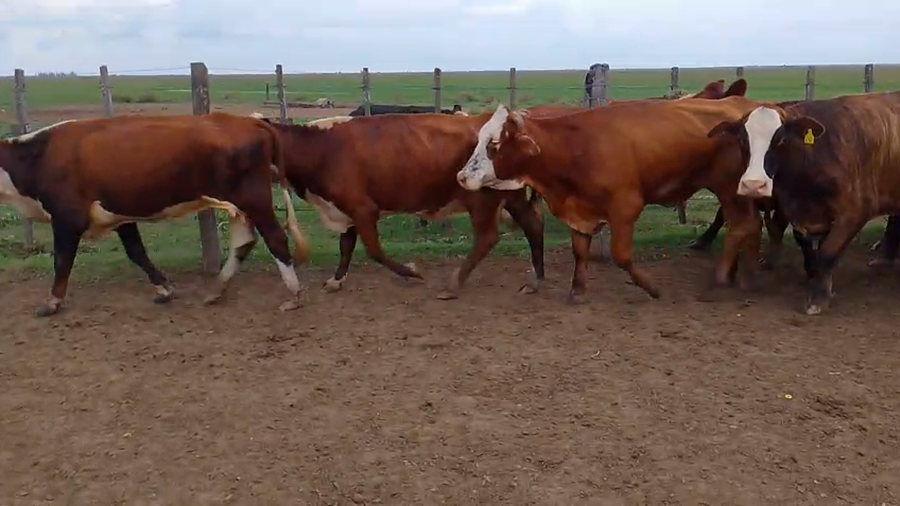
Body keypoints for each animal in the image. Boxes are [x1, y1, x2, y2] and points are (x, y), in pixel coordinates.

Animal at [0, 113, 311, 317]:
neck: (38, 156)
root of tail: (250, 120)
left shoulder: (67, 219)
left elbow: (62, 261)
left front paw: (51, 302)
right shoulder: (120, 216)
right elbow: (137, 252)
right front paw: (165, 289)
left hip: (254, 200)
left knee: (276, 239)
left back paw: (294, 295)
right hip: (238, 206)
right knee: (244, 243)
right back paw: (216, 291)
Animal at [256, 111, 545, 300]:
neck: (321, 149)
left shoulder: (363, 209)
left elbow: (374, 251)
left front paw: (412, 272)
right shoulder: (346, 211)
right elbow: (346, 247)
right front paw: (336, 281)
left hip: (482, 199)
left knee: (487, 238)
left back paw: (453, 285)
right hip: (511, 194)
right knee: (532, 225)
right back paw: (536, 278)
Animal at [455, 96, 768, 303]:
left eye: (494, 144)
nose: (461, 176)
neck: (576, 147)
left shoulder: (625, 207)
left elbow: (621, 255)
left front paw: (651, 287)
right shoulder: (581, 209)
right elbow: (580, 250)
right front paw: (578, 290)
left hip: (730, 189)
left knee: (745, 224)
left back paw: (727, 279)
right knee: (749, 224)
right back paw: (746, 276)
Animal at [706, 90, 900, 315]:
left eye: (781, 139)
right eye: (742, 140)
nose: (753, 184)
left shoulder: (854, 212)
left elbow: (828, 252)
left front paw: (819, 298)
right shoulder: (800, 212)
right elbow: (806, 243)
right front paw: (814, 276)